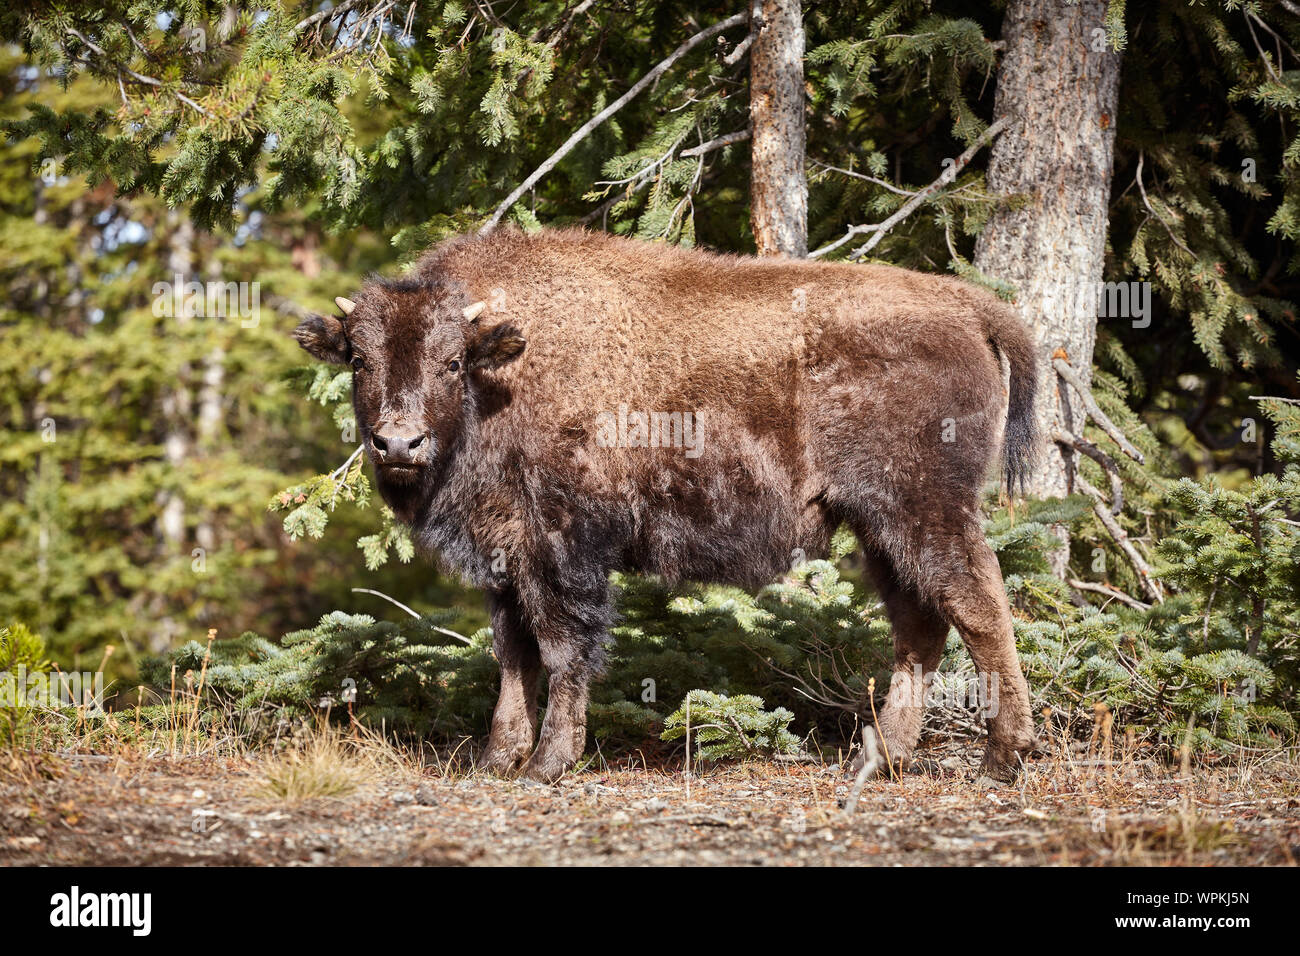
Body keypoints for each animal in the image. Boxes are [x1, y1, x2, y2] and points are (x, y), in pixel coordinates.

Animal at [292, 227, 1034, 780]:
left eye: (451, 362)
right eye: (359, 360)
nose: (398, 442)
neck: (504, 369)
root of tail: (967, 305)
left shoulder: (563, 550)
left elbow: (562, 648)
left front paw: (546, 764)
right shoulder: (506, 553)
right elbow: (512, 653)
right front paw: (495, 760)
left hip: (921, 509)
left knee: (978, 607)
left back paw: (1001, 758)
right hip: (879, 528)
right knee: (920, 627)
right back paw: (875, 761)